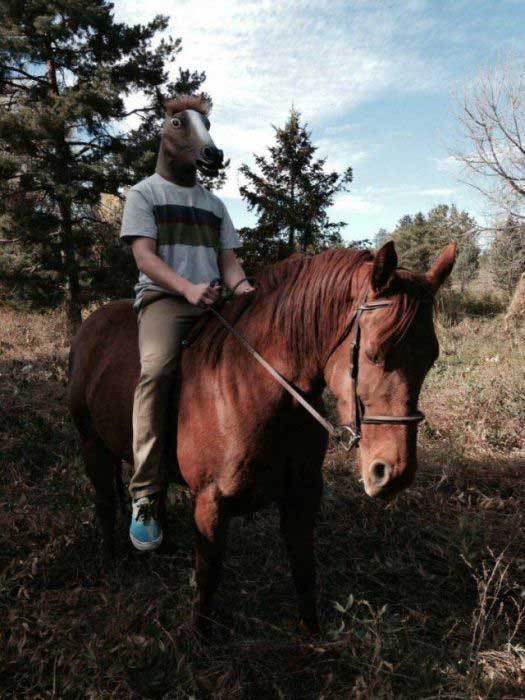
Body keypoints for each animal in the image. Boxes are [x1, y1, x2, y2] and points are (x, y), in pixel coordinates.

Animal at [68, 239, 454, 628]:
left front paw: (311, 636)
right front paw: (199, 636)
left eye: (430, 359)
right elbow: (207, 580)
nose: (393, 473)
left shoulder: (302, 495)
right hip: (91, 444)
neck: (255, 386)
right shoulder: (210, 503)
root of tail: (92, 323)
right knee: (105, 502)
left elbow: (304, 572)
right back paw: (110, 565)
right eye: (375, 354)